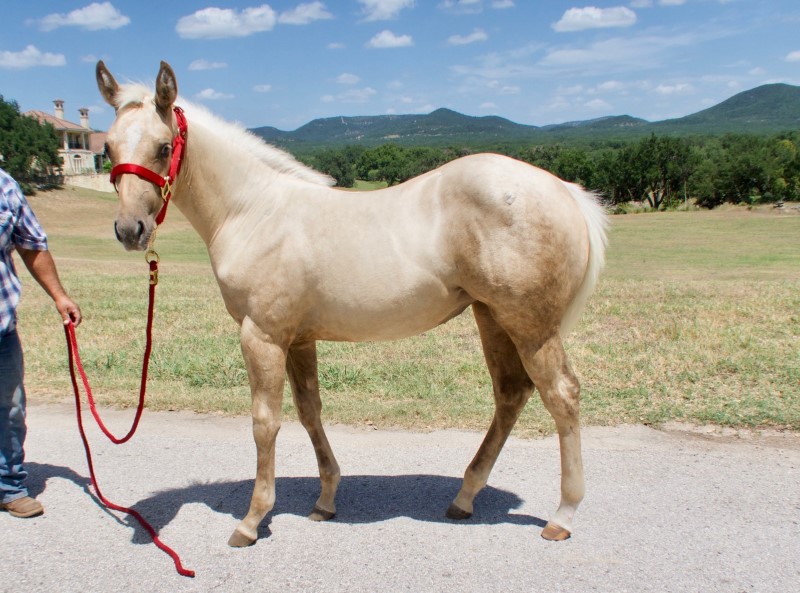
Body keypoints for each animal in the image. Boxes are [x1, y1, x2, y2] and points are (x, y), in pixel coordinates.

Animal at [95, 60, 608, 544]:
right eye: (109, 149)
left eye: (163, 147)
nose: (129, 230)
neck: (254, 212)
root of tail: (566, 191)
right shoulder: (298, 339)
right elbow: (309, 412)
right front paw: (325, 500)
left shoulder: (263, 335)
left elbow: (265, 422)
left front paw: (252, 519)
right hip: (493, 318)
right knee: (511, 394)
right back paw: (464, 497)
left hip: (531, 327)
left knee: (561, 395)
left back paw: (562, 515)